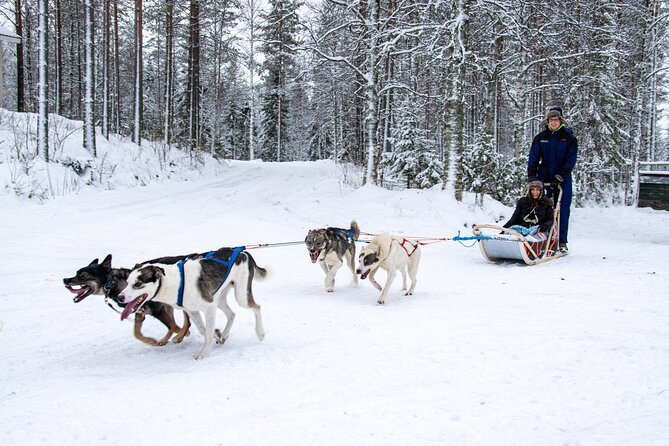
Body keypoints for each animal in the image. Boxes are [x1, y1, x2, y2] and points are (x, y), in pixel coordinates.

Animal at [117, 249, 266, 360]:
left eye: (138, 284)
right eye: (127, 282)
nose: (120, 297)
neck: (174, 282)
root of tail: (243, 252)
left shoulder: (209, 307)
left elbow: (207, 333)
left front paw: (203, 354)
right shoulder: (192, 311)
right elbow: (203, 330)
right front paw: (216, 335)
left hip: (241, 297)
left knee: (257, 307)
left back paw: (260, 333)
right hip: (219, 298)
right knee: (232, 314)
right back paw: (223, 336)